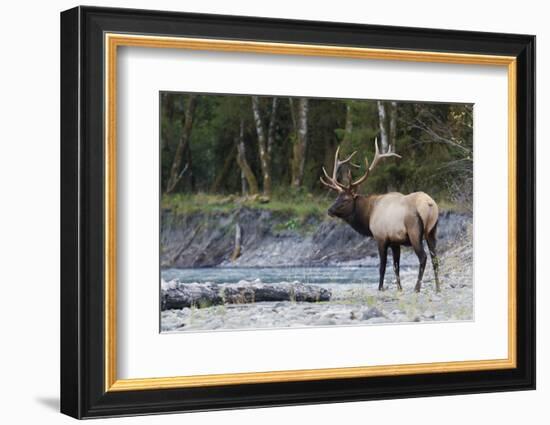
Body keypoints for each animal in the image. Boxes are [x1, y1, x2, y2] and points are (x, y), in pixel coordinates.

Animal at [322, 139, 442, 292]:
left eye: (346, 199)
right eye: (337, 196)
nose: (329, 210)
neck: (368, 216)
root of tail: (430, 205)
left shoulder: (381, 238)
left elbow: (382, 266)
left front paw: (380, 287)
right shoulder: (395, 242)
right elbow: (396, 267)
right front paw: (399, 288)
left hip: (414, 231)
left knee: (423, 257)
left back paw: (417, 288)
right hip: (432, 231)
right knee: (435, 258)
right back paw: (438, 287)